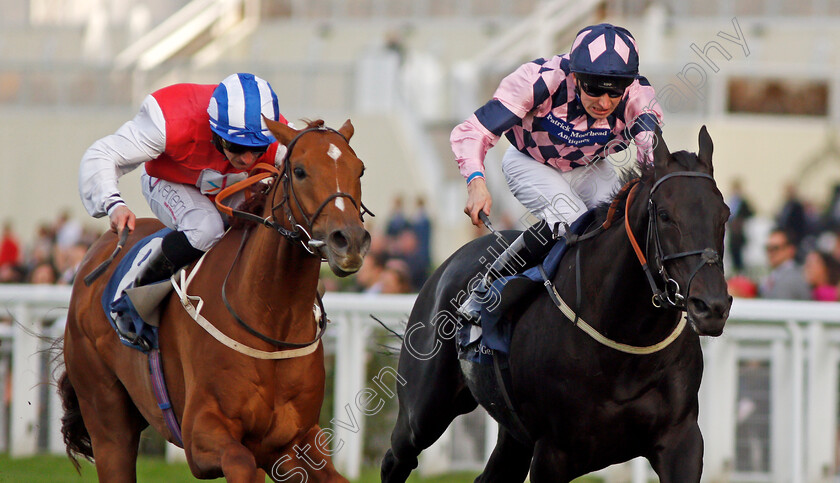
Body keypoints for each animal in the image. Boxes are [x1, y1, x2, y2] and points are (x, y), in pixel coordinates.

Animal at [60, 119, 370, 482]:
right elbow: (241, 462)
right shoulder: (201, 432)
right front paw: (118, 211)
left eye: (359, 169)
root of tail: (96, 252)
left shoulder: (294, 441)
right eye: (300, 170)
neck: (272, 317)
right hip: (107, 419)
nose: (350, 240)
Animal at [384, 126, 732, 482]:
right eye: (664, 215)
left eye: (725, 215)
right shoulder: (553, 452)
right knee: (397, 457)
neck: (627, 341)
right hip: (423, 410)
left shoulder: (681, 441)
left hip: (513, 435)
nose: (711, 307)